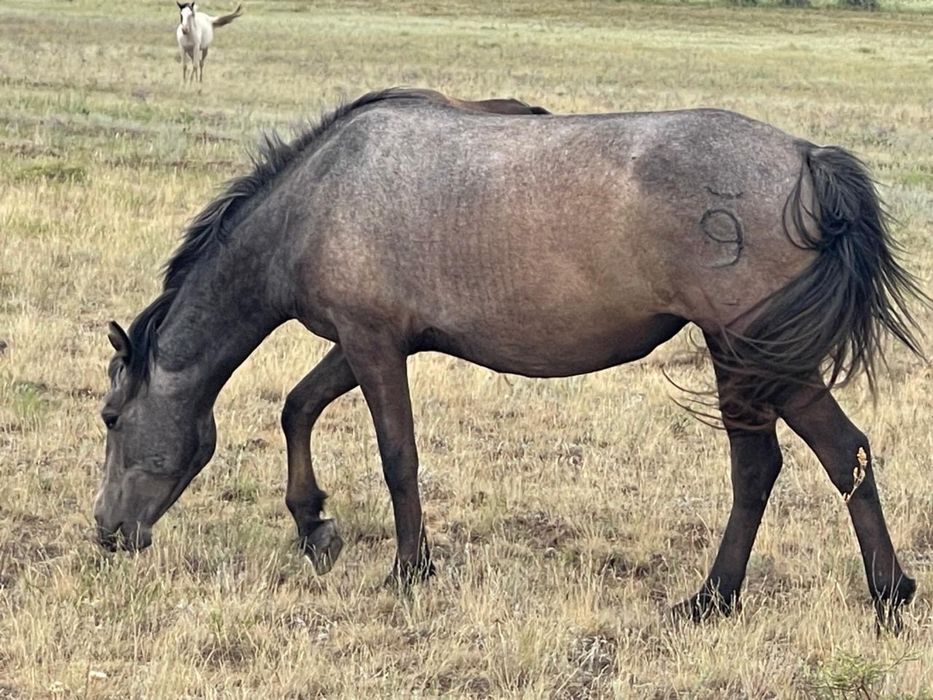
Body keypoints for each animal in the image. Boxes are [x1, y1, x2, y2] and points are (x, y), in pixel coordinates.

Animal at [94, 88, 927, 626]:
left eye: (109, 418)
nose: (106, 532)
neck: (319, 199)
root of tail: (805, 158)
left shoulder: (372, 343)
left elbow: (397, 455)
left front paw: (408, 570)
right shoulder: (365, 342)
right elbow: (297, 407)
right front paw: (314, 528)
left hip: (757, 355)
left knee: (840, 451)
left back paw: (886, 597)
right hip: (738, 358)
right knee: (761, 468)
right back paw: (711, 601)